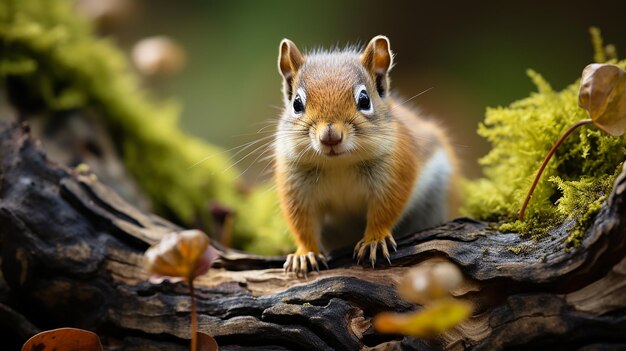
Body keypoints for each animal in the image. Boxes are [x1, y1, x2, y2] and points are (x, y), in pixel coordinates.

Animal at [276, 35, 456, 278]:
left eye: (364, 100)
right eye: (296, 103)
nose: (330, 137)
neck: (338, 164)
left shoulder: (394, 172)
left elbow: (385, 209)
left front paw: (375, 240)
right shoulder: (296, 186)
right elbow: (301, 223)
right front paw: (305, 253)